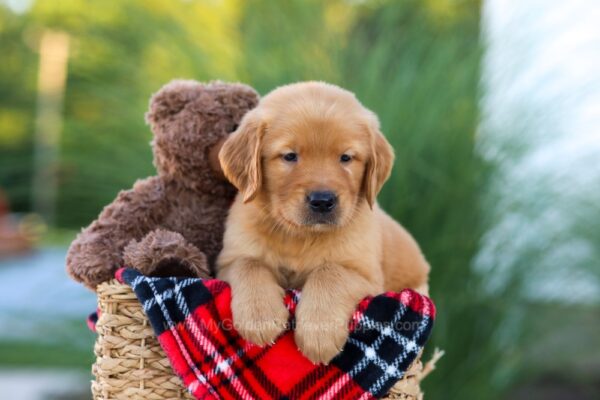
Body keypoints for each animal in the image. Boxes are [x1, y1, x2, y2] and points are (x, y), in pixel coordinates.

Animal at [218, 83, 428, 364]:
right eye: (290, 156)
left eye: (346, 158)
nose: (322, 201)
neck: (300, 236)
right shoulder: (226, 262)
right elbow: (249, 263)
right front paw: (259, 317)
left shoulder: (368, 278)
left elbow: (330, 272)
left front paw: (319, 333)